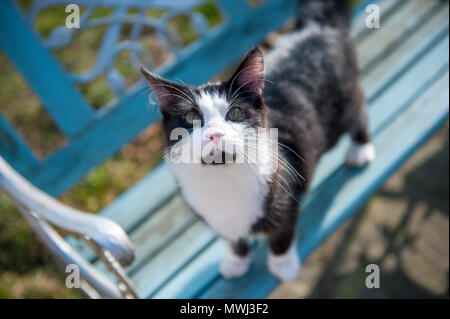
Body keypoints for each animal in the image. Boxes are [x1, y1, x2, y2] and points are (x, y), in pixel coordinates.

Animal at [141, 0, 372, 282]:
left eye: (235, 113)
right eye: (191, 117)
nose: (215, 134)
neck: (224, 177)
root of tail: (316, 26)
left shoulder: (285, 187)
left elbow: (283, 230)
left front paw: (283, 264)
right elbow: (232, 239)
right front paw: (236, 261)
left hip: (344, 101)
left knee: (358, 107)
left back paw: (360, 147)